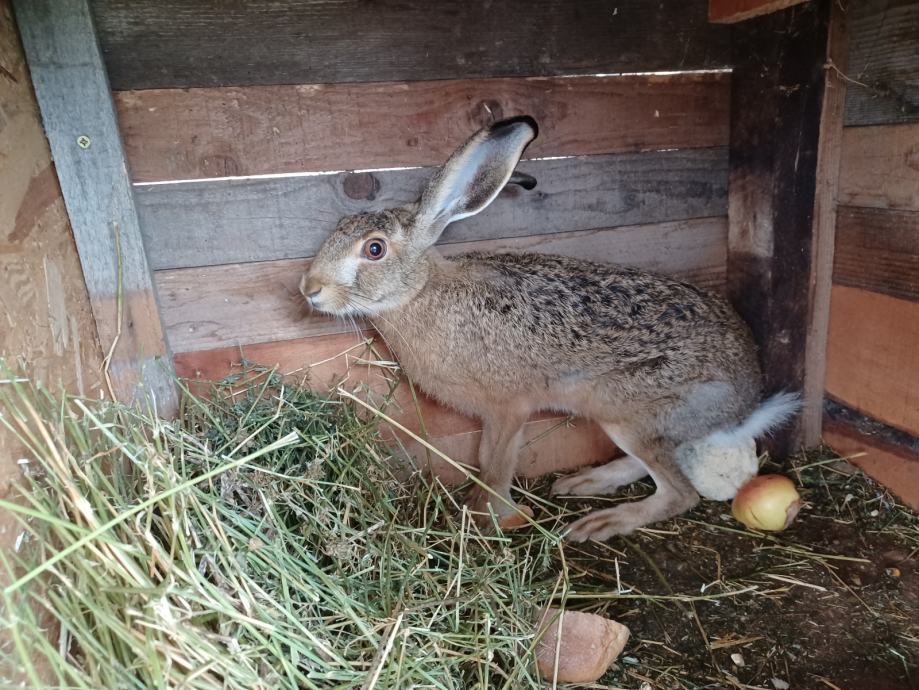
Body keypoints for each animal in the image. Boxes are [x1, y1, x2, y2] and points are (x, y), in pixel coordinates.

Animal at [300, 116, 800, 542]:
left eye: (375, 250)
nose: (309, 289)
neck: (420, 290)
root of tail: (744, 400)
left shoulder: (507, 409)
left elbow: (493, 463)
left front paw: (484, 517)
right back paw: (585, 482)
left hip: (629, 409)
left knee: (680, 493)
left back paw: (600, 523)